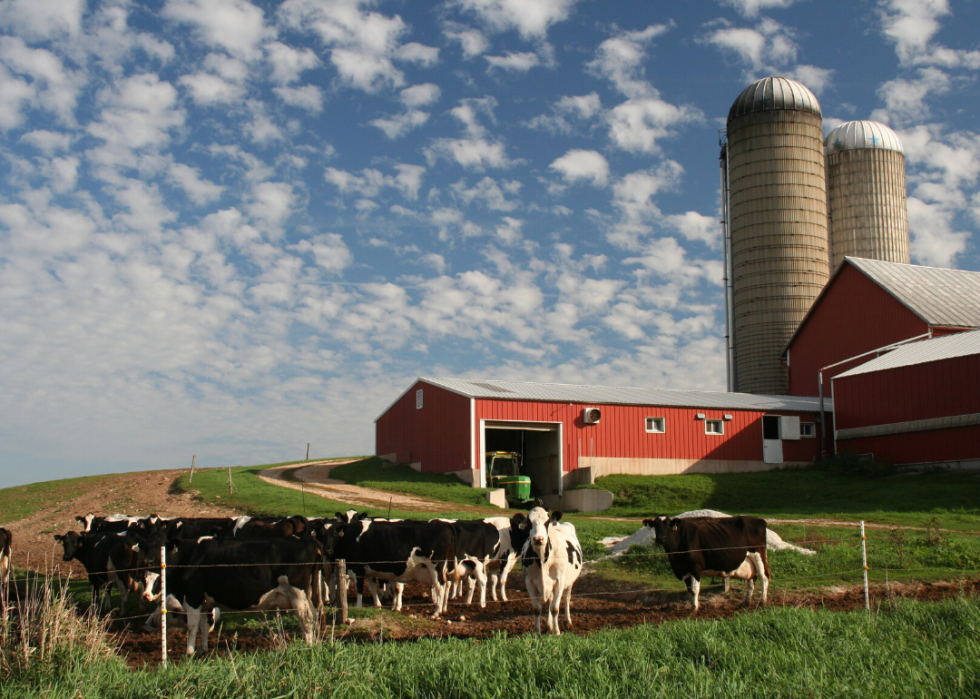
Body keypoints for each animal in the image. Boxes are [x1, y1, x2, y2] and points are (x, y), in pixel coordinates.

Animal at [142, 536, 322, 656]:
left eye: (160, 550)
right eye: (147, 548)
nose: (148, 562)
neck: (190, 557)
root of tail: (310, 542)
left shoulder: (193, 596)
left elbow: (192, 626)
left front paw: (189, 652)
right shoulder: (206, 602)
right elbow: (204, 626)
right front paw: (203, 650)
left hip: (297, 594)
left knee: (306, 620)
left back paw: (309, 647)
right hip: (309, 595)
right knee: (314, 617)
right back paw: (315, 643)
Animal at [516, 508, 584, 636]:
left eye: (546, 522)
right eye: (529, 523)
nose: (538, 539)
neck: (543, 561)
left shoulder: (560, 581)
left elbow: (555, 608)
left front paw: (557, 632)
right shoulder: (529, 582)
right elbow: (537, 608)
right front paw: (537, 631)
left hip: (569, 581)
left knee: (566, 598)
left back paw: (567, 622)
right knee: (550, 601)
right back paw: (548, 626)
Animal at [644, 516, 772, 612]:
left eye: (668, 524)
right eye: (655, 525)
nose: (661, 539)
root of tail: (759, 520)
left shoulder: (696, 567)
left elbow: (695, 589)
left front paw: (694, 610)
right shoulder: (685, 569)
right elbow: (690, 590)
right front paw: (693, 606)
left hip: (758, 554)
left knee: (764, 577)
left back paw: (763, 602)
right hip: (749, 560)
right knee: (751, 579)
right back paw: (746, 602)